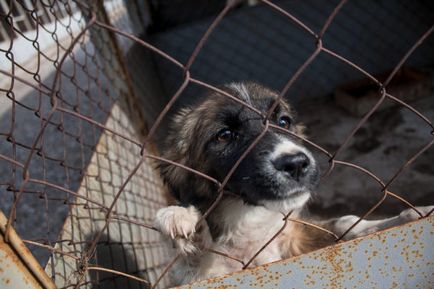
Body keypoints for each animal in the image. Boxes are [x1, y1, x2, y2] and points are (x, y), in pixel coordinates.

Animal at [154, 82, 432, 284]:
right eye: (224, 135)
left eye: (283, 121)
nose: (297, 163)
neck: (247, 218)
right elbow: (196, 266)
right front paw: (183, 220)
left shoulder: (292, 236)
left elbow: (345, 223)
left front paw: (409, 217)